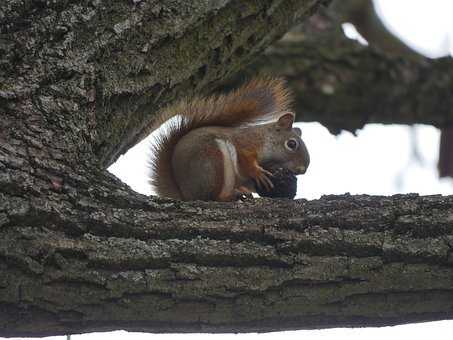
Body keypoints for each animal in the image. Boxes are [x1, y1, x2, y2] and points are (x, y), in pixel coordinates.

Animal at [147, 78, 308, 201]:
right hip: (212, 162)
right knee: (211, 197)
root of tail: (186, 194)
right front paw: (258, 172)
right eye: (291, 144)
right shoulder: (245, 143)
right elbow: (245, 161)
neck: (264, 138)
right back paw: (230, 196)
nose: (302, 170)